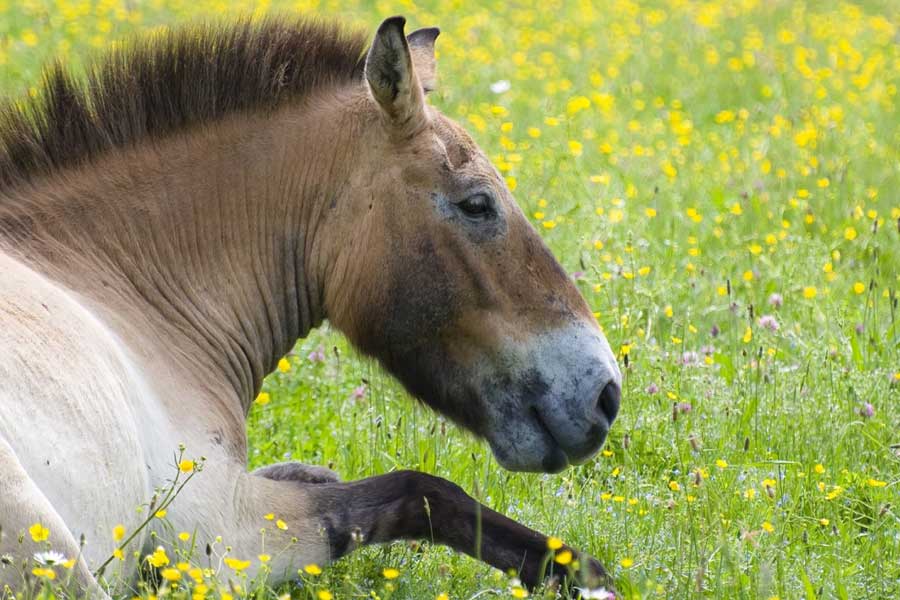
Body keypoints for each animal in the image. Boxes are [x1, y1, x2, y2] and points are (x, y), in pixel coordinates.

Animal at [0, 15, 621, 597]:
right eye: (477, 204)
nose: (605, 394)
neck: (131, 302)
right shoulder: (222, 536)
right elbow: (419, 490)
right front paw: (582, 573)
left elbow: (321, 473)